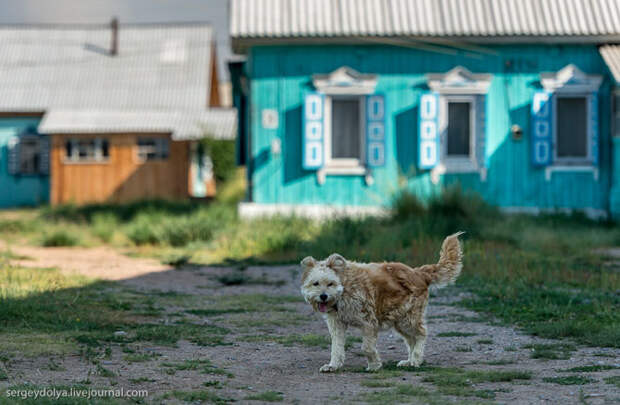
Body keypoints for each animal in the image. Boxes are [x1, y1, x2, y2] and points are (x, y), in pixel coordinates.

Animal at [298, 232, 462, 370]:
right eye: (315, 283)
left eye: (330, 283)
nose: (323, 296)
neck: (344, 287)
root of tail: (418, 272)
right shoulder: (337, 324)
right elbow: (336, 347)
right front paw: (333, 365)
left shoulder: (368, 322)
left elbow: (366, 348)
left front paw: (374, 366)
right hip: (400, 320)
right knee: (411, 340)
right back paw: (409, 361)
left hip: (409, 318)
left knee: (421, 334)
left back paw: (415, 360)